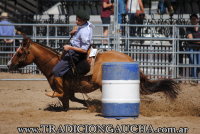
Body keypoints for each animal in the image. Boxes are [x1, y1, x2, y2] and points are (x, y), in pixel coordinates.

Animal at [7, 37, 180, 110]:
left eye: (20, 52)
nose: (9, 64)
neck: (54, 63)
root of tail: (130, 59)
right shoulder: (69, 91)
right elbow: (70, 101)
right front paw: (88, 104)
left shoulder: (62, 89)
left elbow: (59, 96)